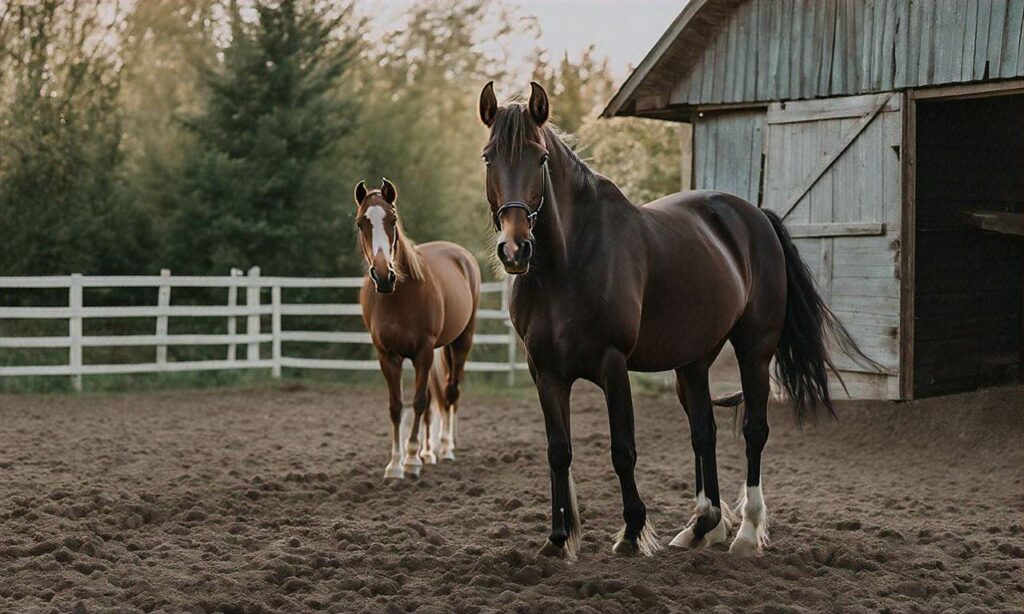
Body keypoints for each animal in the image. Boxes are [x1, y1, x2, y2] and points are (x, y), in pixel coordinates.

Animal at [354, 177, 481, 478]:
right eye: (361, 223)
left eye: (393, 219)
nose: (383, 275)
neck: (398, 296)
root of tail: (461, 255)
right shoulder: (388, 356)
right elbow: (397, 406)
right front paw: (395, 463)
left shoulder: (423, 352)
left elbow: (420, 401)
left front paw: (410, 460)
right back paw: (428, 452)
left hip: (461, 342)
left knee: (450, 392)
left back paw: (445, 447)